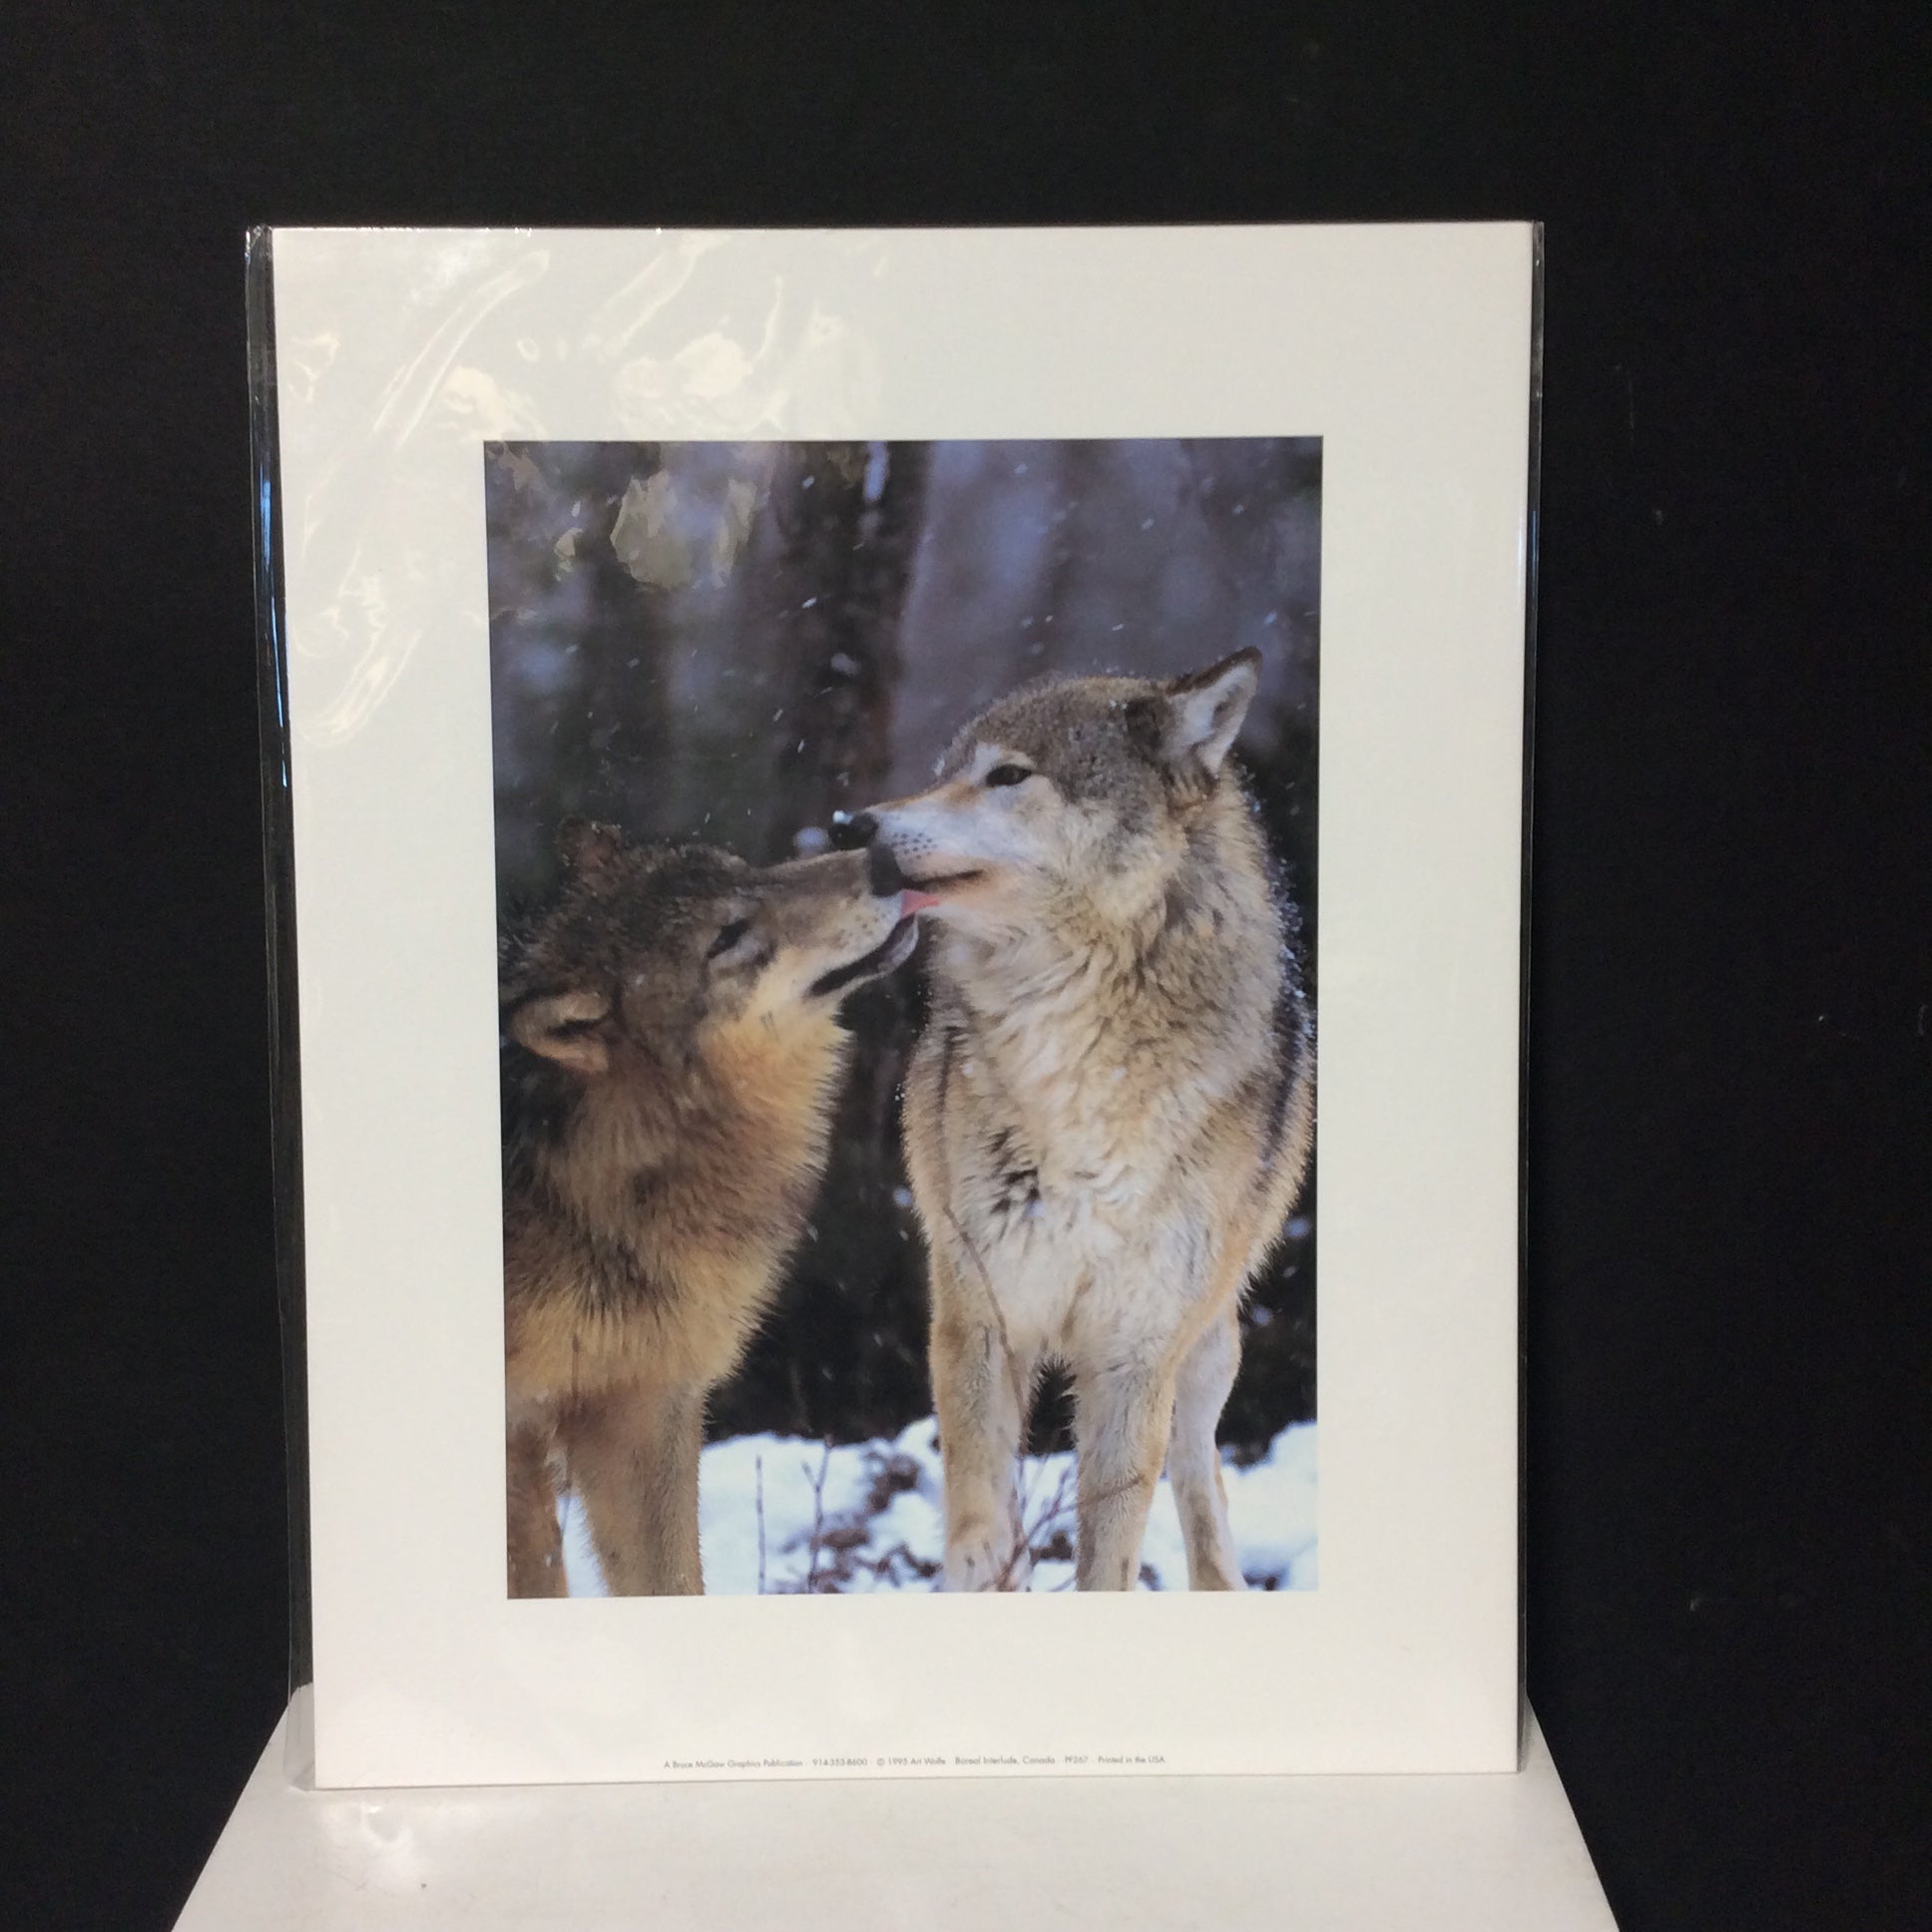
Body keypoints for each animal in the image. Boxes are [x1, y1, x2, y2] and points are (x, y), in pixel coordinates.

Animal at [498, 820, 923, 1597]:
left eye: (749, 872)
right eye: (726, 936)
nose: (883, 860)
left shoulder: (646, 1408)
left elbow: (672, 1583)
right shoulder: (518, 1430)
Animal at [848, 647, 1313, 1591]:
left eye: (1007, 776)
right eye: (948, 771)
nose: (859, 824)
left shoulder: (1137, 1352)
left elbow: (1112, 1548)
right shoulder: (978, 1308)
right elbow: (978, 1501)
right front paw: (980, 1568)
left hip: (1206, 1349)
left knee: (1199, 1472)